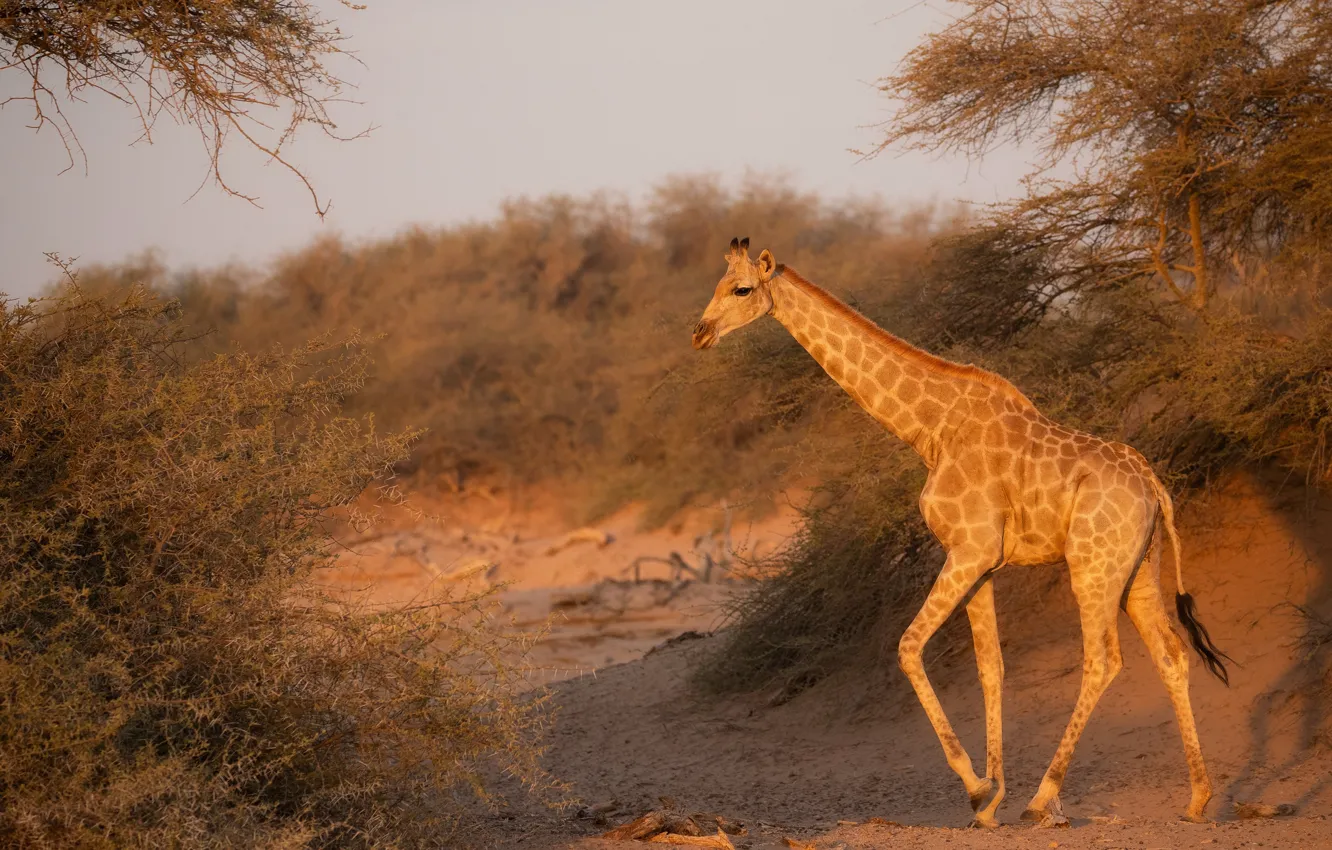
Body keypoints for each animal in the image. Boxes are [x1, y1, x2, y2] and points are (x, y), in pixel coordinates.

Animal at [691, 237, 1231, 828]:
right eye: (717, 285)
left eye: (742, 289)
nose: (700, 332)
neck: (932, 429)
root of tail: (1155, 486)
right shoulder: (983, 563)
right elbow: (990, 667)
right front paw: (991, 801)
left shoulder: (969, 550)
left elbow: (908, 646)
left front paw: (977, 789)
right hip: (1137, 571)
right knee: (1171, 654)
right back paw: (1198, 798)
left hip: (1092, 566)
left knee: (1103, 659)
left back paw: (1043, 799)